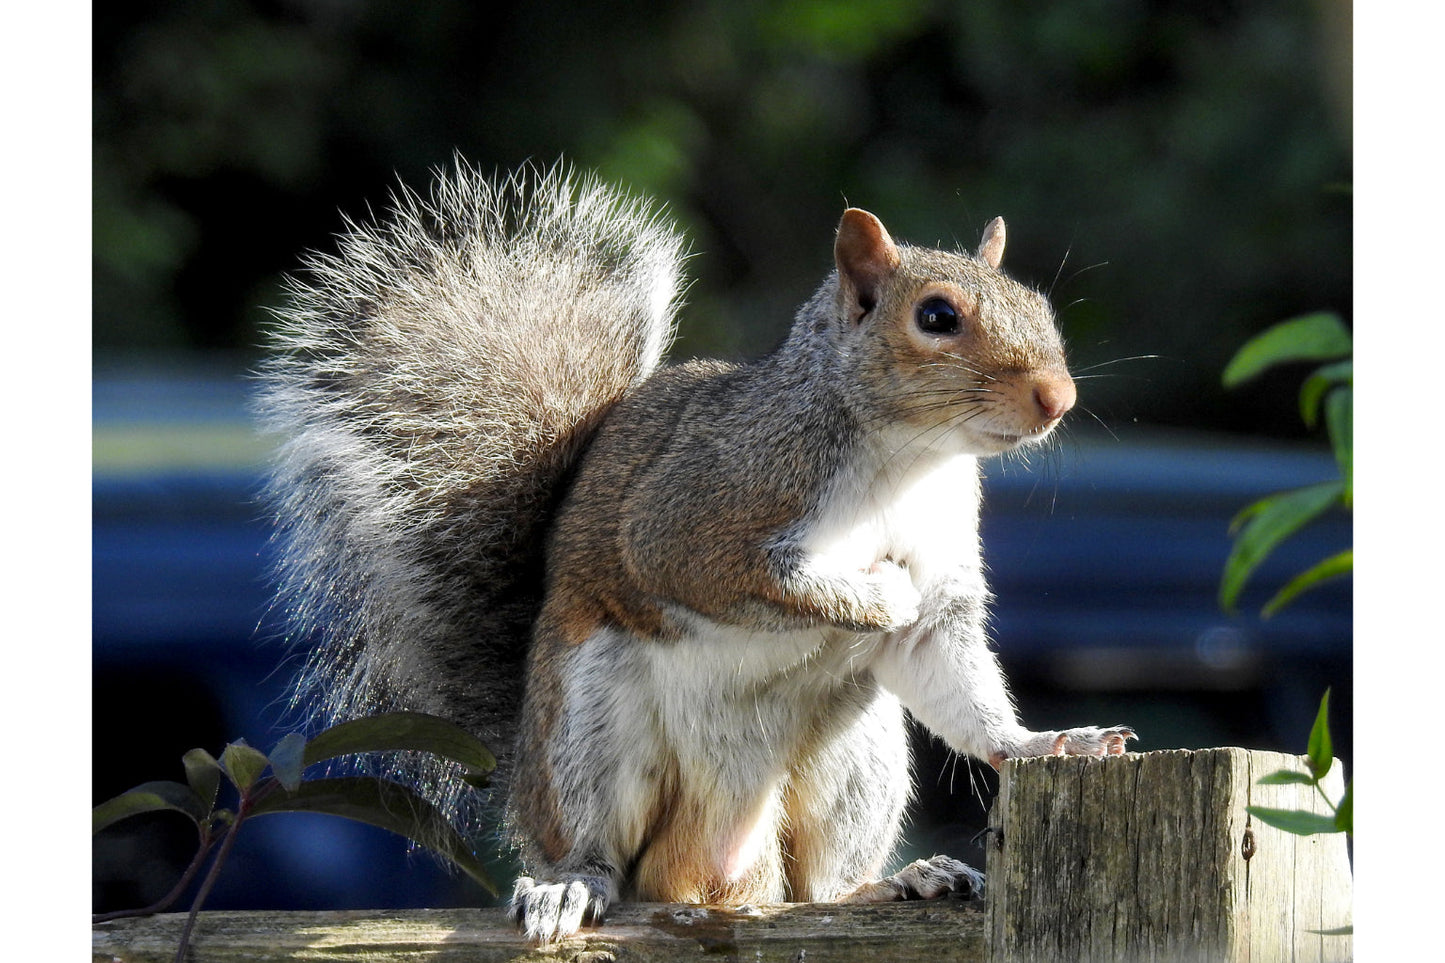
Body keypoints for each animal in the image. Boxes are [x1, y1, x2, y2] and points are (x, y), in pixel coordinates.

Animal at [257, 157, 1138, 936]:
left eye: (1037, 304)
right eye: (936, 317)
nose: (1057, 396)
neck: (908, 460)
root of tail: (714, 865)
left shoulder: (941, 567)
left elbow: (954, 679)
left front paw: (1047, 741)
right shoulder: (693, 515)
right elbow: (746, 575)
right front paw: (874, 594)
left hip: (855, 759)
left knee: (818, 884)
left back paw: (896, 881)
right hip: (587, 723)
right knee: (597, 847)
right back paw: (569, 886)